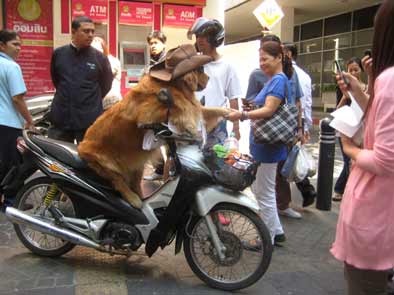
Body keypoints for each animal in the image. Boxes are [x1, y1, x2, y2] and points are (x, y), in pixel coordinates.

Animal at [77, 45, 231, 209]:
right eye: (201, 69)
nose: (208, 78)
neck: (175, 85)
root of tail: (80, 147)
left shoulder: (194, 107)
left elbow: (208, 109)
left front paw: (231, 112)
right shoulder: (150, 114)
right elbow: (180, 110)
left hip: (137, 164)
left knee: (134, 182)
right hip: (105, 162)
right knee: (117, 180)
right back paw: (133, 199)